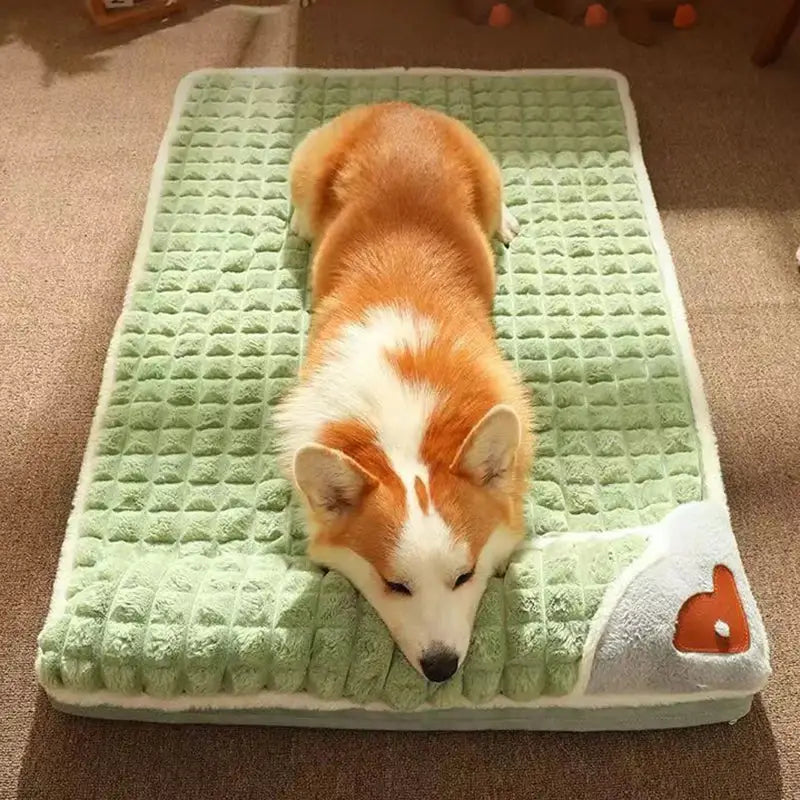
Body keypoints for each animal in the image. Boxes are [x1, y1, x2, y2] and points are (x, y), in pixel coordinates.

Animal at [276, 103, 532, 684]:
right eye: (393, 585)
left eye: (465, 575)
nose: (441, 668)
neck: (402, 425)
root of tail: (399, 109)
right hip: (307, 164)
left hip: (486, 171)